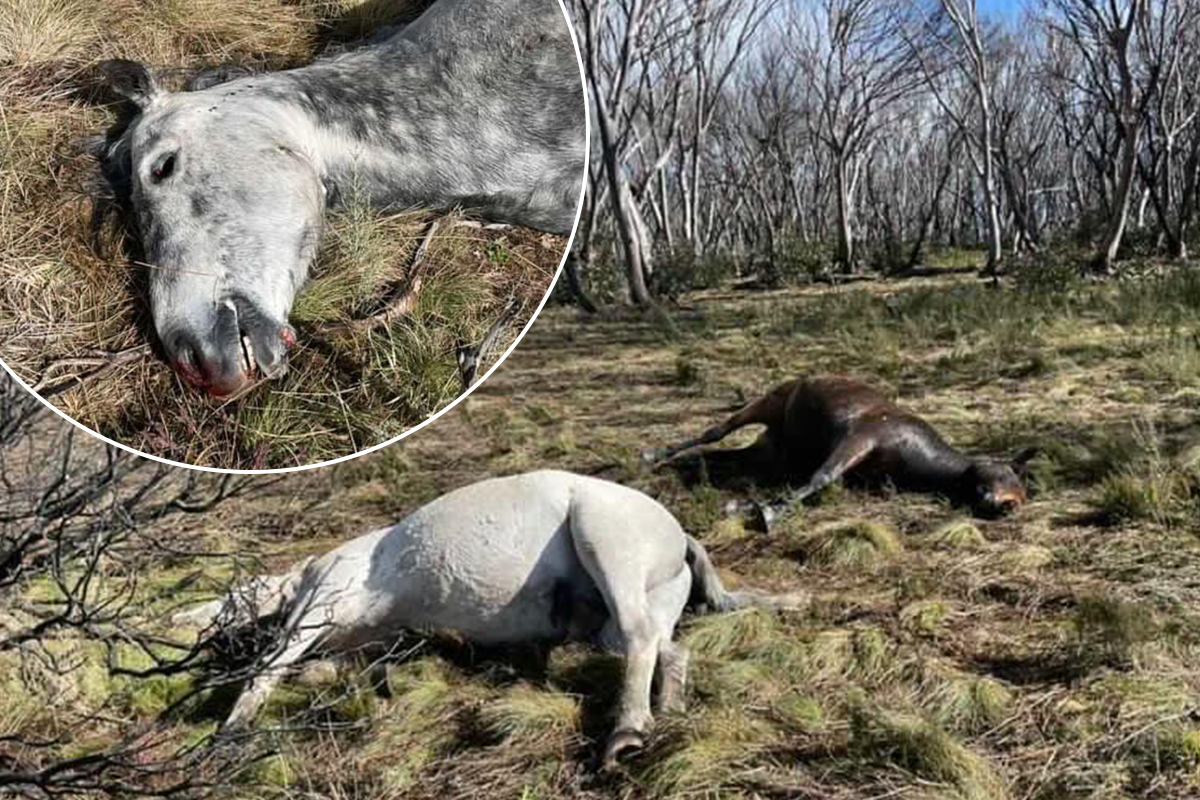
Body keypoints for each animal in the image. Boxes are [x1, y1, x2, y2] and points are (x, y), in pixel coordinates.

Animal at [180, 470, 806, 767]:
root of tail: (680, 538)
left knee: (641, 636)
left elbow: (269, 667)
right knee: (665, 647)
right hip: (620, 614)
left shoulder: (321, 603)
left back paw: (625, 736)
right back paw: (666, 715)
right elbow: (329, 668)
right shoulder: (374, 641)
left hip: (605, 540)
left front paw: (227, 733)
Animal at [643, 376, 1036, 527]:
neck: (917, 458)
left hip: (767, 452)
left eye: (1023, 495)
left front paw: (746, 506)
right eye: (1007, 474)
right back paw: (653, 455)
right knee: (714, 432)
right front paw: (766, 513)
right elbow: (821, 478)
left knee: (718, 456)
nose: (1007, 506)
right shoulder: (859, 438)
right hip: (764, 405)